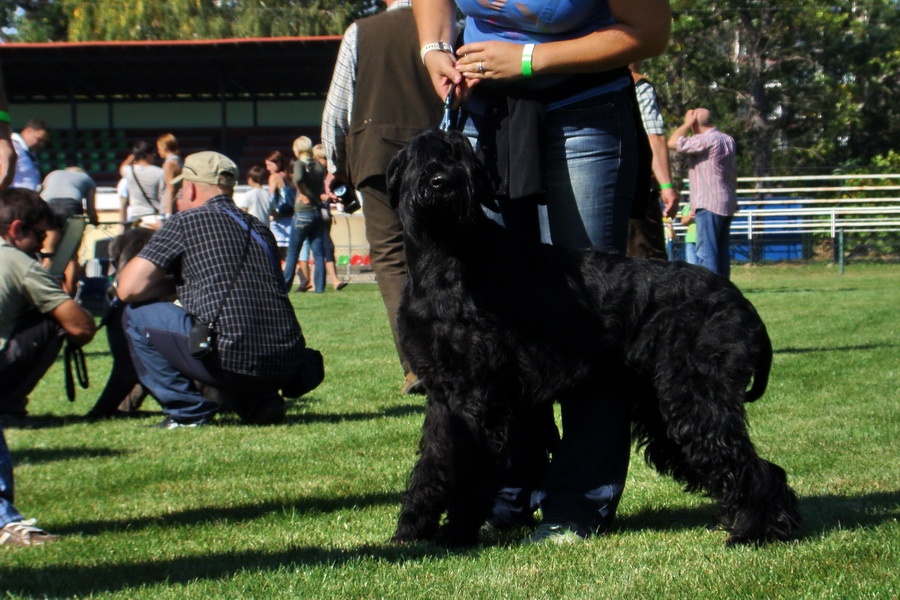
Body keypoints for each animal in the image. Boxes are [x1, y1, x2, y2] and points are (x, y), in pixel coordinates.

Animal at [388, 127, 800, 548]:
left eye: (463, 159)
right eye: (421, 155)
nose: (441, 182)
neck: (447, 254)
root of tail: (742, 303)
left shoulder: (475, 397)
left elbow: (467, 472)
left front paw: (453, 535)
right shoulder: (444, 396)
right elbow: (433, 464)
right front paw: (411, 531)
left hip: (696, 400)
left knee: (750, 464)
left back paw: (758, 530)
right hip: (665, 407)